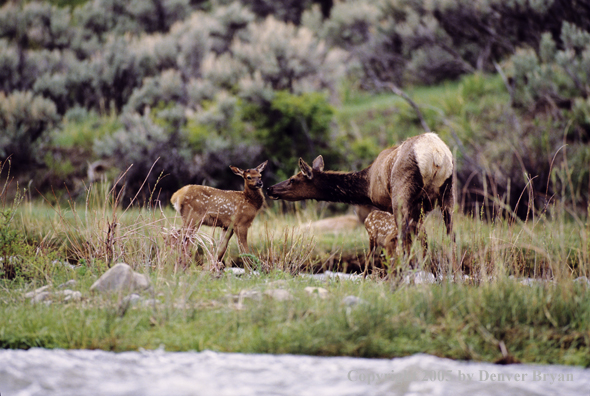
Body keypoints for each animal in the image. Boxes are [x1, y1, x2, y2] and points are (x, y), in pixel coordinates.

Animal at [268, 133, 458, 272]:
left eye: (292, 179)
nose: (270, 188)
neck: (367, 186)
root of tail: (436, 154)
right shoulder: (420, 209)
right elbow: (424, 240)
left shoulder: (392, 204)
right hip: (448, 195)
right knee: (451, 235)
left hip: (402, 194)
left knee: (404, 237)